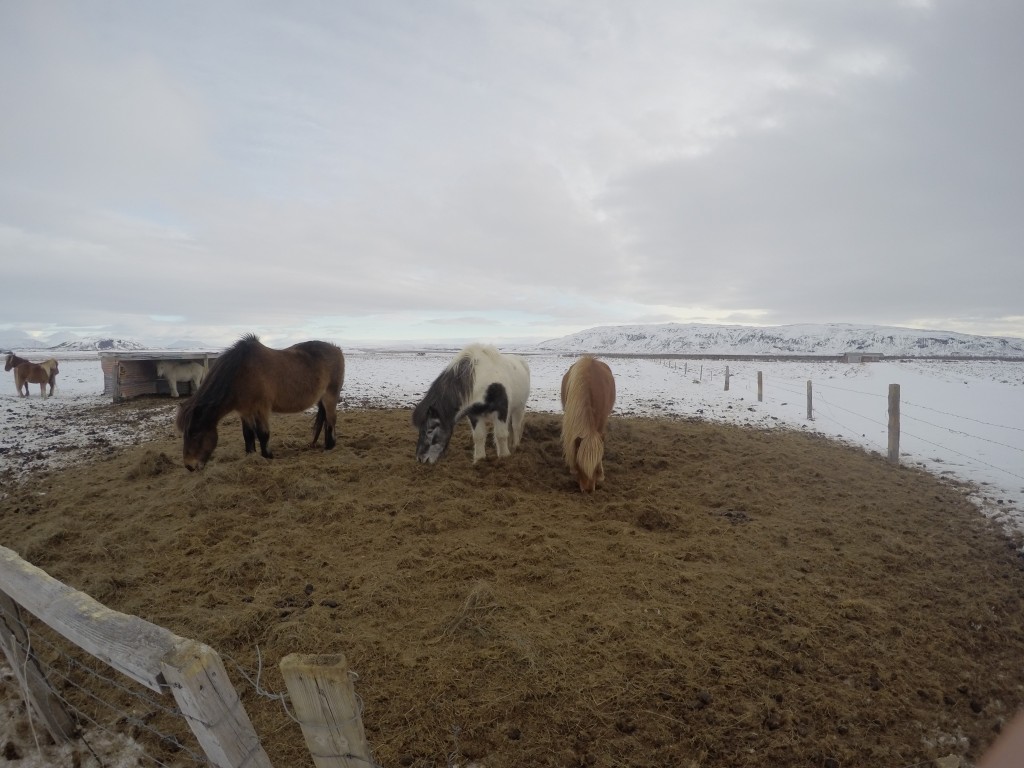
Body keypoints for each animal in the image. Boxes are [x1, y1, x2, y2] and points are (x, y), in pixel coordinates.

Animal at [174, 333, 346, 473]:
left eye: (195, 433)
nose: (189, 466)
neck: (241, 373)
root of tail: (337, 349)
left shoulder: (261, 409)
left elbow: (263, 434)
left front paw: (268, 457)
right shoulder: (244, 411)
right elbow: (248, 434)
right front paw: (250, 456)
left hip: (330, 396)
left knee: (331, 421)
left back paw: (330, 447)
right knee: (326, 421)